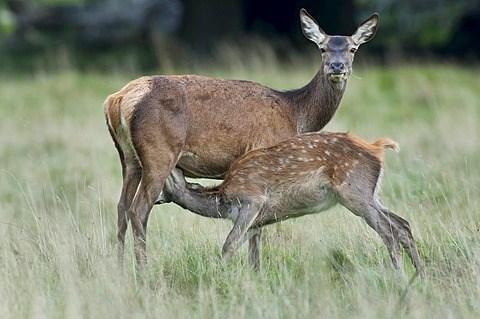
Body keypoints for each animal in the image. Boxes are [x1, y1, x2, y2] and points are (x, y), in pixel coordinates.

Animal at [105, 8, 378, 266]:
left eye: (353, 48)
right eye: (322, 48)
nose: (337, 67)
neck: (296, 115)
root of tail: (118, 99)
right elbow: (258, 229)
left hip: (128, 158)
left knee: (121, 208)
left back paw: (119, 269)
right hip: (159, 153)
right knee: (138, 210)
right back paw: (143, 271)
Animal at [163, 132, 422, 276]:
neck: (222, 200)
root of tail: (377, 149)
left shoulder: (252, 200)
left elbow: (229, 244)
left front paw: (219, 277)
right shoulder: (257, 221)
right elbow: (250, 253)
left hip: (355, 193)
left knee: (388, 230)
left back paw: (400, 276)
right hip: (371, 195)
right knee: (403, 225)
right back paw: (419, 276)